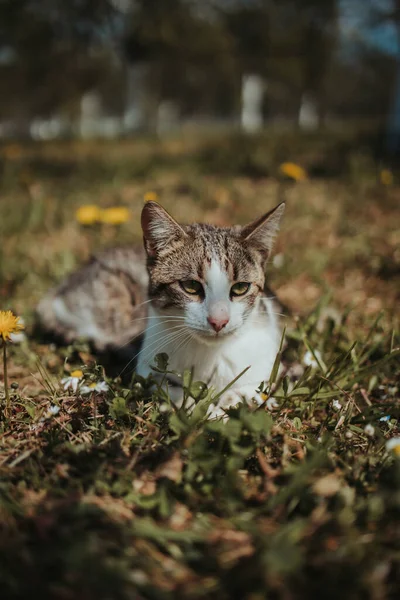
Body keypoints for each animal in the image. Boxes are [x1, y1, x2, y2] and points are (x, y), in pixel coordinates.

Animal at [36, 202, 284, 418]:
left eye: (241, 288)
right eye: (191, 286)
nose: (219, 321)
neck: (210, 354)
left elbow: (254, 389)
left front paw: (228, 403)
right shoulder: (149, 372)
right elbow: (172, 392)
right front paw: (206, 411)